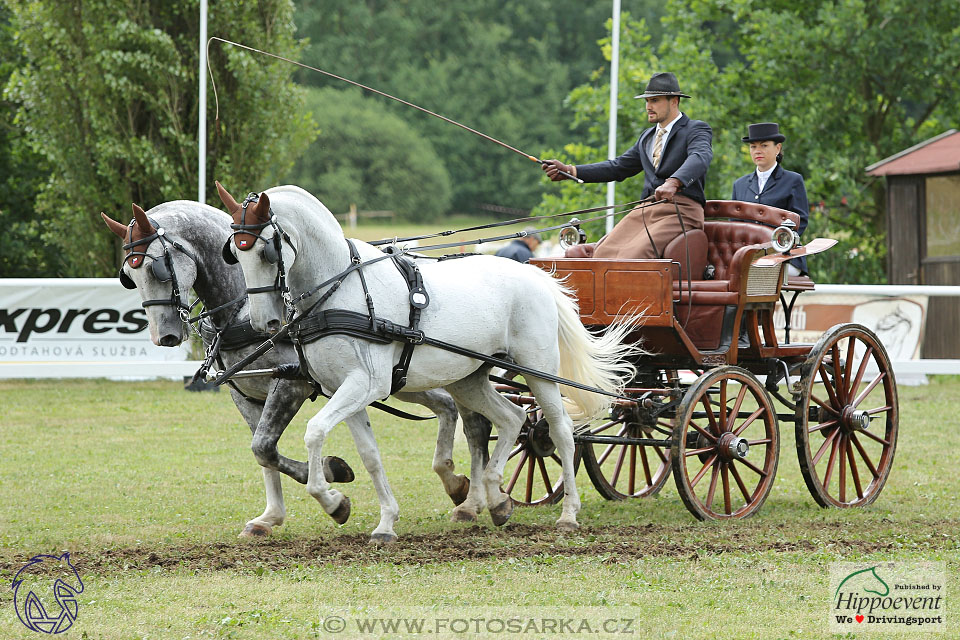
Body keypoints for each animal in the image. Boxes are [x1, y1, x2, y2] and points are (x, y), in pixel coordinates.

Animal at [217, 182, 636, 544]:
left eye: (266, 252)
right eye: (234, 253)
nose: (264, 324)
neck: (340, 290)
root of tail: (534, 273)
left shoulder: (366, 384)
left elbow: (314, 431)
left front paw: (333, 500)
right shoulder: (344, 390)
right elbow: (370, 456)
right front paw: (383, 521)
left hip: (540, 371)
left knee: (561, 431)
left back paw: (567, 514)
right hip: (470, 379)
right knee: (512, 418)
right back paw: (496, 499)